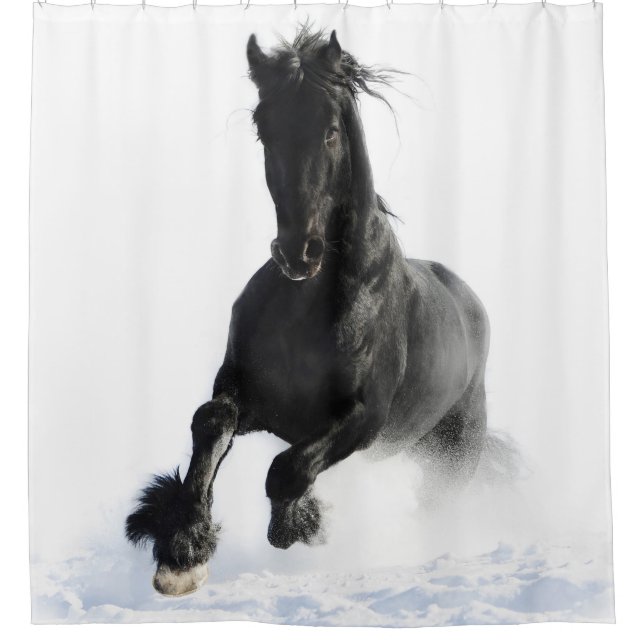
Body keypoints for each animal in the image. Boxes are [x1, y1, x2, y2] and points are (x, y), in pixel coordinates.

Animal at [126, 27, 490, 597]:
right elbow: (211, 422)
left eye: (331, 130)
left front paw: (300, 524)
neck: (307, 311)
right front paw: (182, 553)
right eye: (263, 127)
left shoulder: (363, 420)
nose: (299, 253)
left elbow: (287, 469)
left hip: (453, 456)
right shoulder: (248, 392)